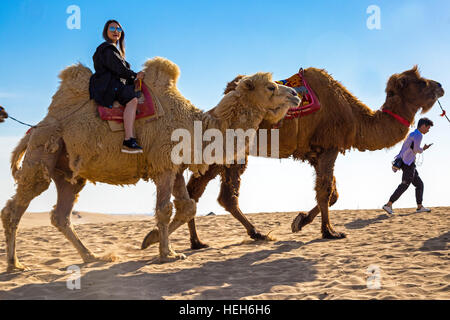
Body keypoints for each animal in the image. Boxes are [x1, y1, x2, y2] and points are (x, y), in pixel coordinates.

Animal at [2, 56, 302, 272]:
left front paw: (151, 240)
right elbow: (164, 209)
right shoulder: (164, 165)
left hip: (68, 173)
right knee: (15, 208)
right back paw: (15, 264)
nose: (296, 95)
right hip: (43, 153)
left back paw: (92, 256)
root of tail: (35, 128)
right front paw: (167, 254)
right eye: (271, 87)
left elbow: (187, 207)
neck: (195, 127)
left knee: (61, 214)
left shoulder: (176, 168)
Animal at [176, 65, 442, 250]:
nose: (440, 85)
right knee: (214, 193)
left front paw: (300, 221)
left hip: (227, 153)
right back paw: (246, 234)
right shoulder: (329, 147)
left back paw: (203, 241)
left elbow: (333, 194)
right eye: (421, 82)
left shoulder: (316, 153)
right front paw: (330, 232)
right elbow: (325, 192)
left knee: (207, 193)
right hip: (227, 150)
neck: (355, 117)